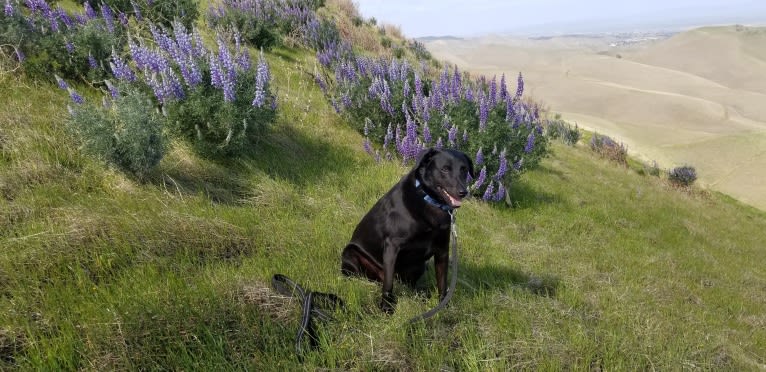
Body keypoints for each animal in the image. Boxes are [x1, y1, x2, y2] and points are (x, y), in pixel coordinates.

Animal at [342, 148, 474, 314]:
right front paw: (386, 308)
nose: (463, 192)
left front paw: (444, 307)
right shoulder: (392, 247)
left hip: (420, 265)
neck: (430, 201)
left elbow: (443, 284)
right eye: (445, 169)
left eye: (464, 170)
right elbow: (388, 284)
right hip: (350, 254)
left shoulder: (442, 250)